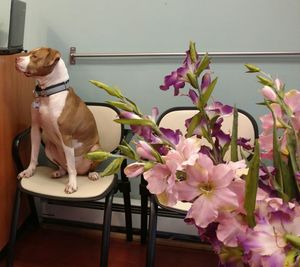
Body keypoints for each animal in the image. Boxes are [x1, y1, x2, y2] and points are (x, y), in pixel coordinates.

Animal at [15, 48, 101, 194]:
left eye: (35, 56)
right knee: (64, 167)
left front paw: (72, 185)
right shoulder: (35, 129)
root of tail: (81, 172)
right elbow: (33, 155)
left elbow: (71, 167)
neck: (48, 93)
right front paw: (29, 171)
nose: (16, 59)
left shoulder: (66, 136)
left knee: (80, 167)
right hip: (49, 148)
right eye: (30, 53)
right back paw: (59, 172)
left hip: (96, 149)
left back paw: (92, 174)